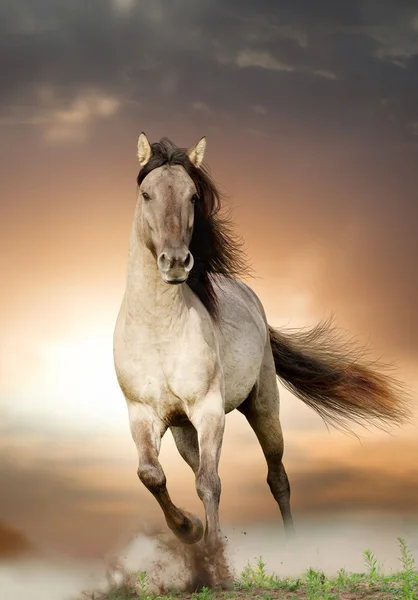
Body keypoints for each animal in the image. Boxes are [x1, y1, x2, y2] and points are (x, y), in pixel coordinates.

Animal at [112, 134, 406, 552]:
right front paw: (190, 528)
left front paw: (213, 552)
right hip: (184, 429)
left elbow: (210, 482)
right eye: (146, 194)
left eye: (193, 197)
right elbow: (151, 475)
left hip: (263, 407)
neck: (158, 332)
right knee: (195, 468)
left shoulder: (209, 410)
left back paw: (292, 547)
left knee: (276, 477)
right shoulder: (142, 414)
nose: (176, 262)